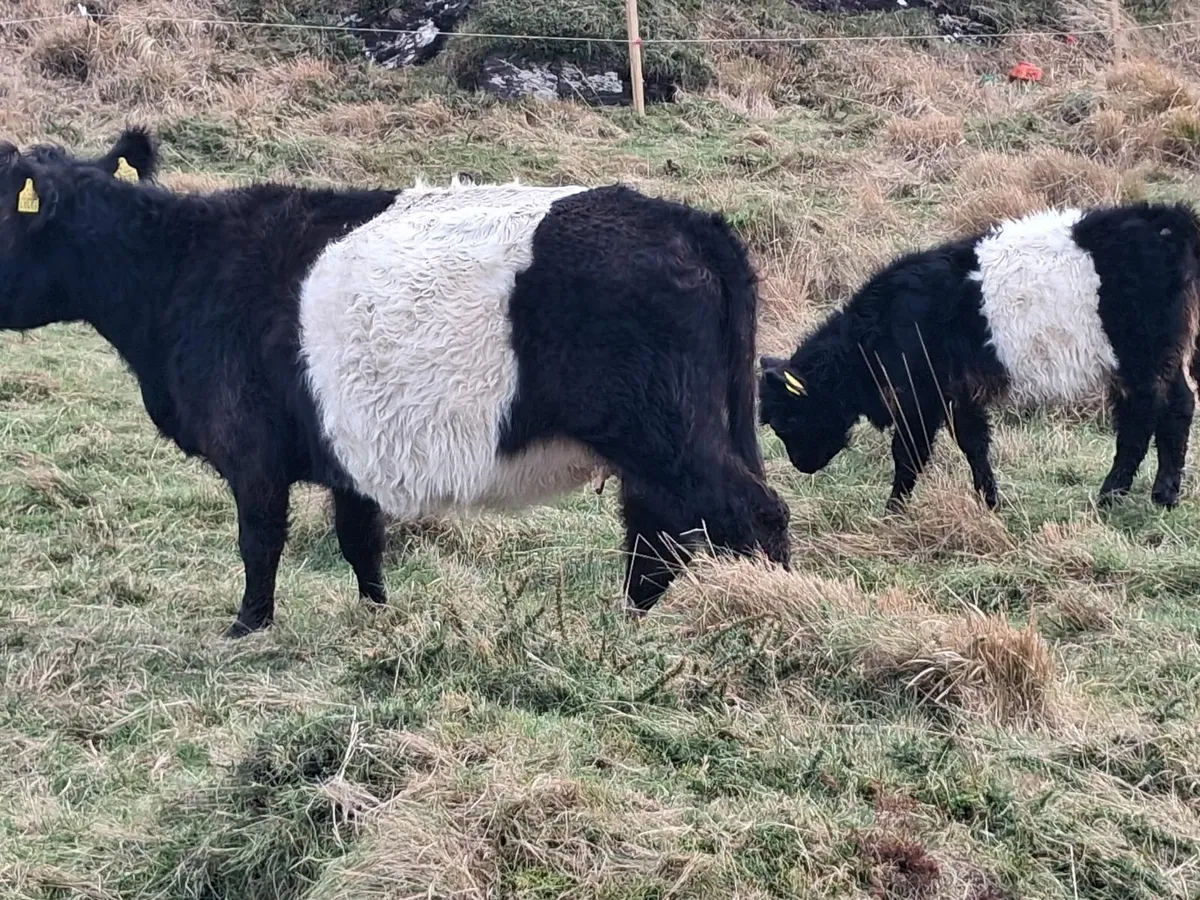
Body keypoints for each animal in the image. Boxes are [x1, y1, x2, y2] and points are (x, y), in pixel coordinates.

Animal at [0, 128, 791, 638]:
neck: (183, 269)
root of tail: (690, 221)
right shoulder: (347, 456)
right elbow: (360, 541)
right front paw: (378, 618)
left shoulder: (251, 451)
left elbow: (260, 542)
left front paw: (247, 628)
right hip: (661, 442)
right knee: (658, 534)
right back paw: (629, 625)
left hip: (669, 434)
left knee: (751, 515)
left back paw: (777, 617)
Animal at [759, 202, 1200, 512]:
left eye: (789, 421)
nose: (802, 465)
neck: (882, 325)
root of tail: (1167, 220)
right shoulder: (960, 393)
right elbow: (974, 445)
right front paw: (990, 501)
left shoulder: (922, 395)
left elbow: (908, 454)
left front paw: (893, 511)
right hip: (1158, 357)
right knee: (1176, 408)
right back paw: (1161, 495)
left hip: (1141, 357)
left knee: (1143, 419)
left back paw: (1117, 495)